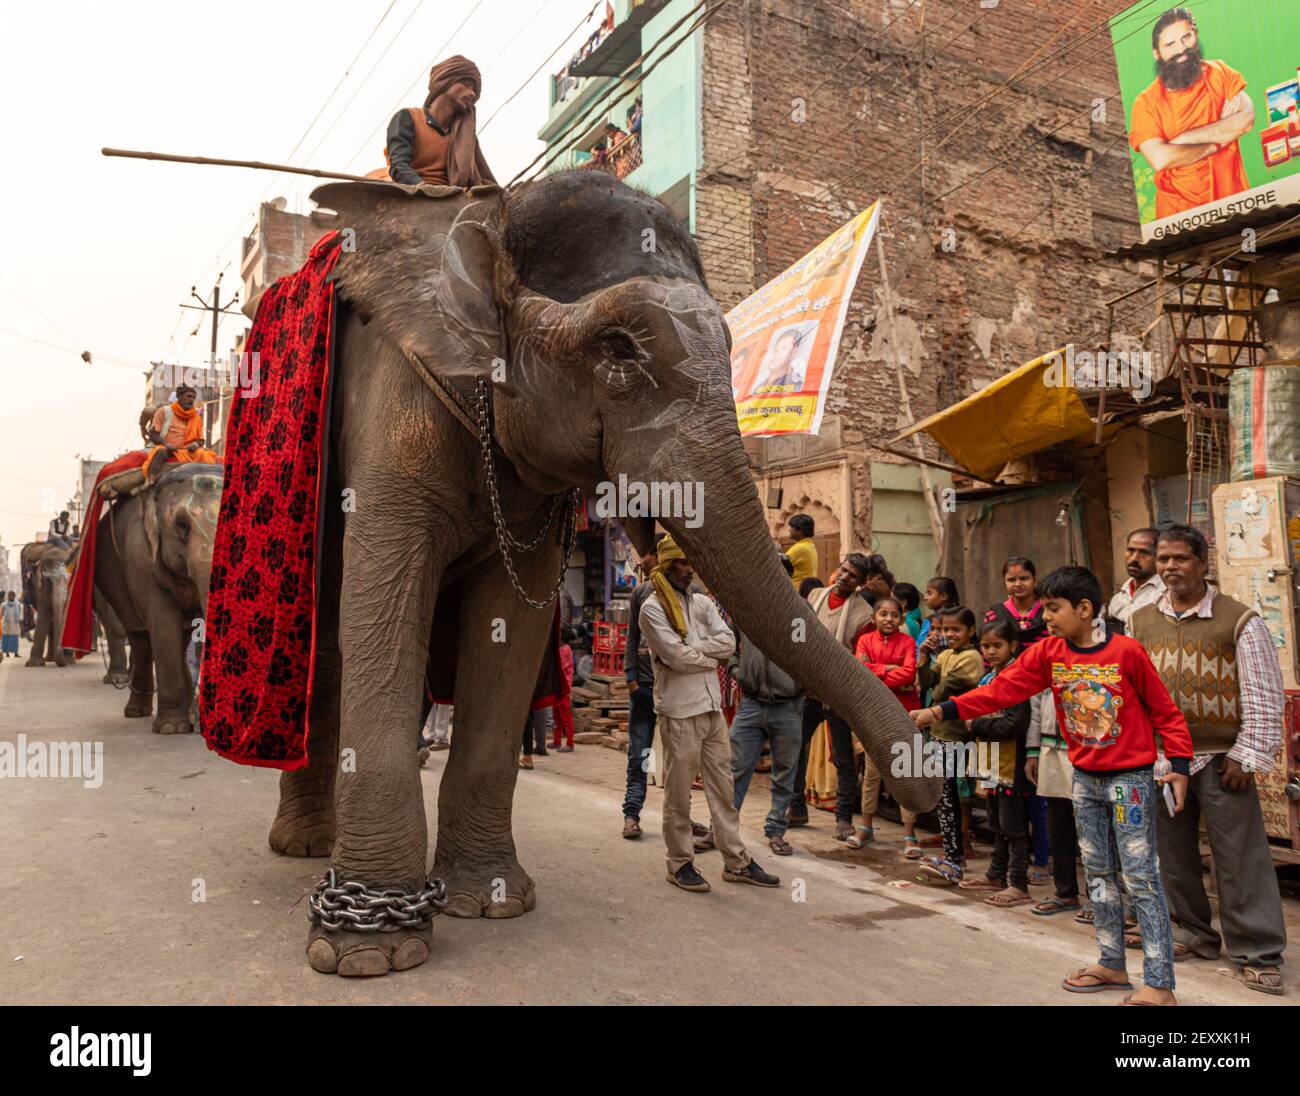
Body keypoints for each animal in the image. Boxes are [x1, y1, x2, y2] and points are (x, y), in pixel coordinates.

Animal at [94, 457, 220, 733]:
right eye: (181, 524)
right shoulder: (140, 557)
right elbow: (163, 622)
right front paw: (171, 728)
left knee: (182, 636)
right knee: (141, 638)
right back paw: (138, 712)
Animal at [248, 171, 935, 977]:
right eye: (618, 346)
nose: (925, 783)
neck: (500, 209)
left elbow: (510, 632)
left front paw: (493, 902)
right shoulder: (396, 412)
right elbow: (385, 612)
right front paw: (368, 952)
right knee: (324, 638)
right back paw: (305, 848)